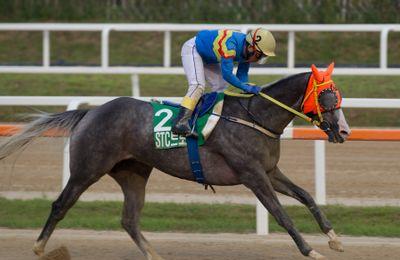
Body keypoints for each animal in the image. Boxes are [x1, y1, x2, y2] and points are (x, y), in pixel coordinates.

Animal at [0, 67, 350, 258]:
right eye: (328, 97)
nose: (344, 131)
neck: (254, 117)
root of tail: (91, 112)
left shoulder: (269, 171)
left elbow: (306, 196)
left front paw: (334, 239)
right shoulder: (252, 175)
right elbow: (280, 214)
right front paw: (311, 250)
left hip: (133, 172)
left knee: (129, 219)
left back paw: (154, 255)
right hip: (88, 168)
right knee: (61, 204)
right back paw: (39, 248)